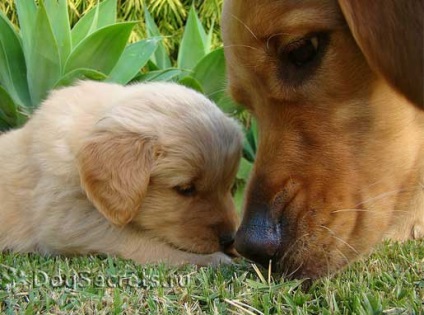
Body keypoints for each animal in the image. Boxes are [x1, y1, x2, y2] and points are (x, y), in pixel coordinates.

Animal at [0, 81, 242, 266]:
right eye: (185, 189)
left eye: (228, 186)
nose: (229, 239)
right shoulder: (66, 220)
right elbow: (142, 243)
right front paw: (209, 260)